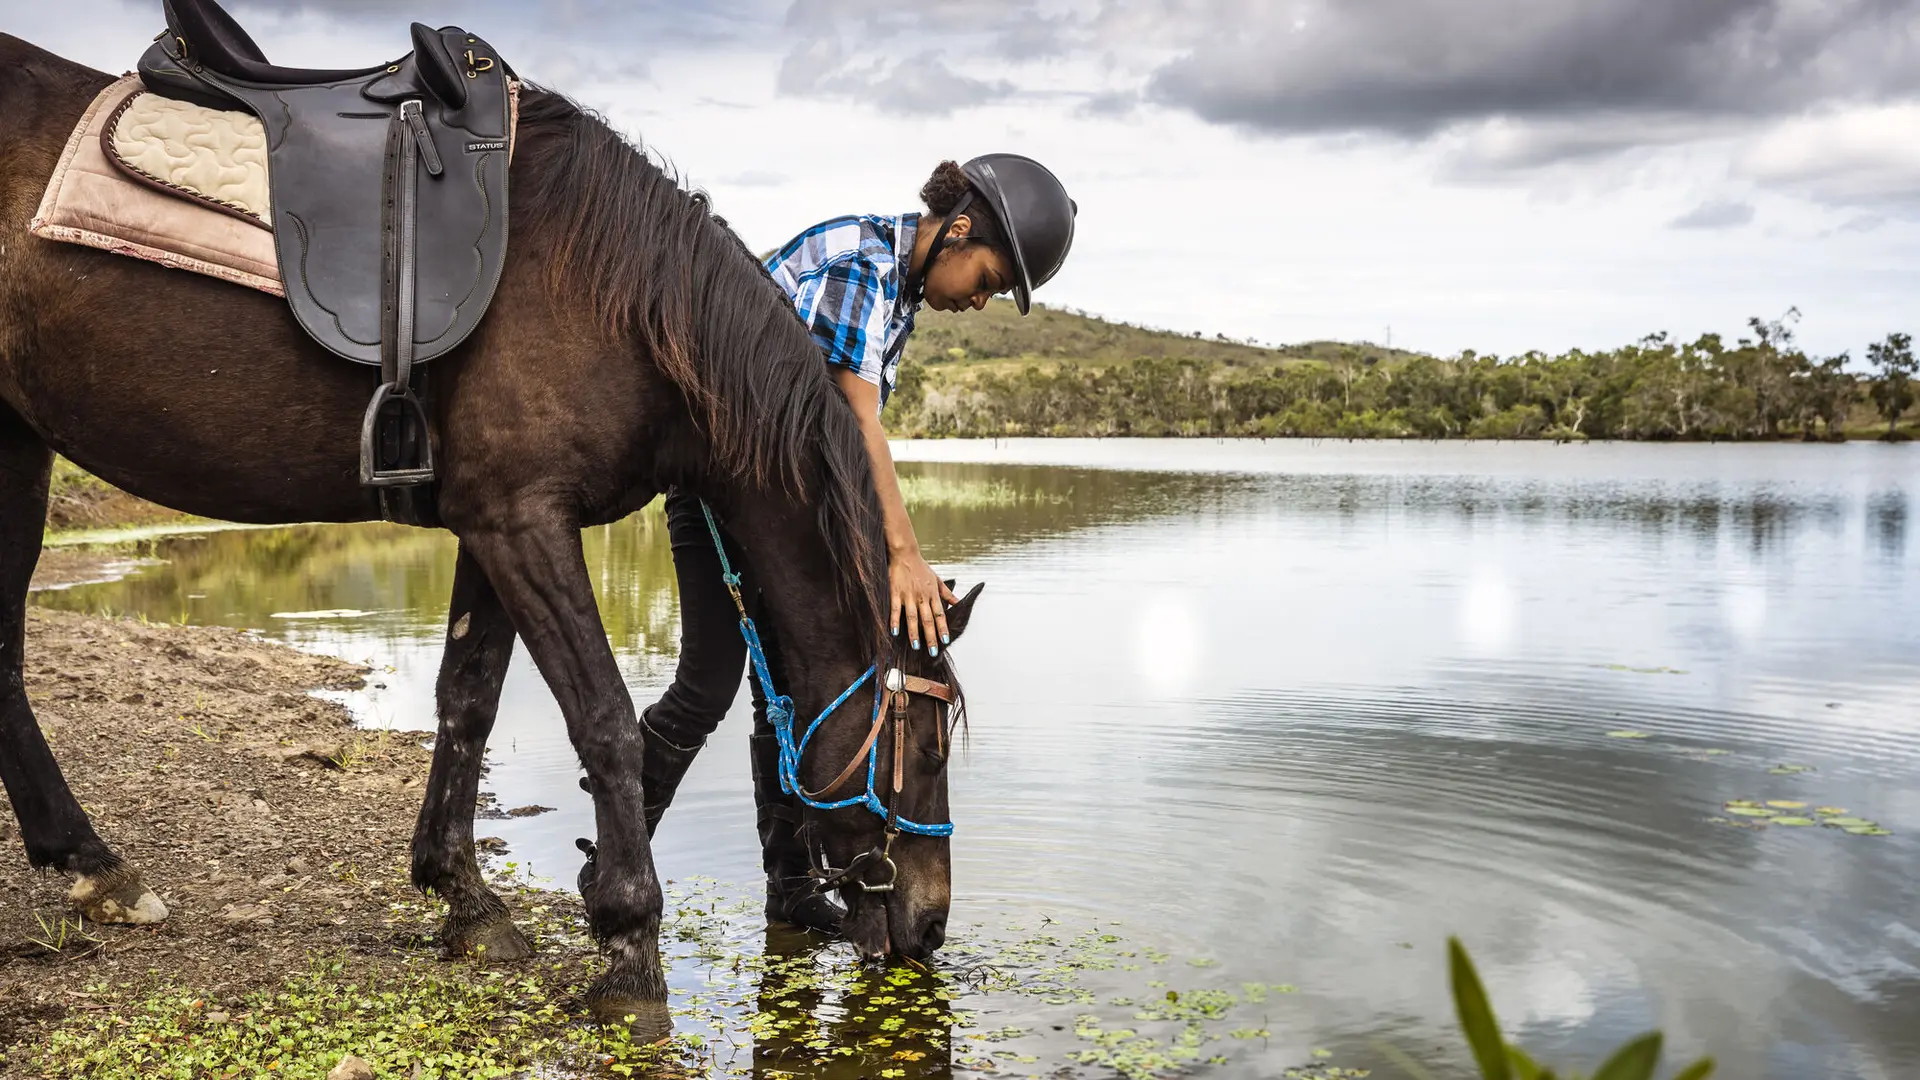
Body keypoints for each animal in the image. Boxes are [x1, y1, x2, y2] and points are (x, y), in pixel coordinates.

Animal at [0, 35, 967, 1037]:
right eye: (930, 751)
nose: (930, 924)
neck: (617, 296)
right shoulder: (524, 520)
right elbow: (605, 721)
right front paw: (629, 947)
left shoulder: (490, 527)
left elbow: (467, 698)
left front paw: (463, 898)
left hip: (16, 444)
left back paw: (92, 865)